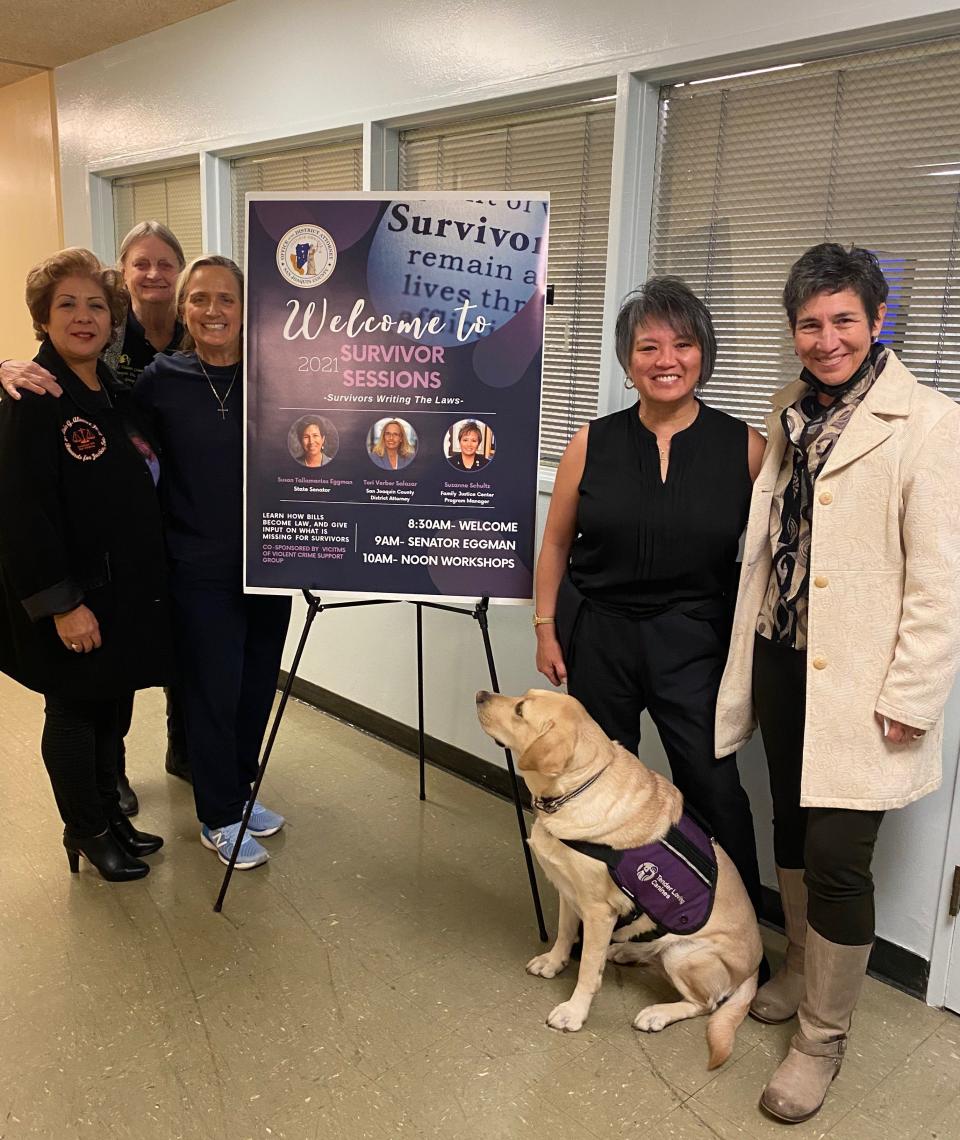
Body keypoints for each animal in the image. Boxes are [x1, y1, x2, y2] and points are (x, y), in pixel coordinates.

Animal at [474, 684, 761, 1067]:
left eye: (520, 710)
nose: (479, 694)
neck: (575, 791)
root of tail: (755, 970)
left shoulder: (599, 912)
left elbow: (587, 968)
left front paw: (574, 1012)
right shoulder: (569, 891)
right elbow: (565, 933)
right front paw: (553, 961)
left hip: (687, 955)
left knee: (705, 1004)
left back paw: (657, 1013)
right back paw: (626, 952)